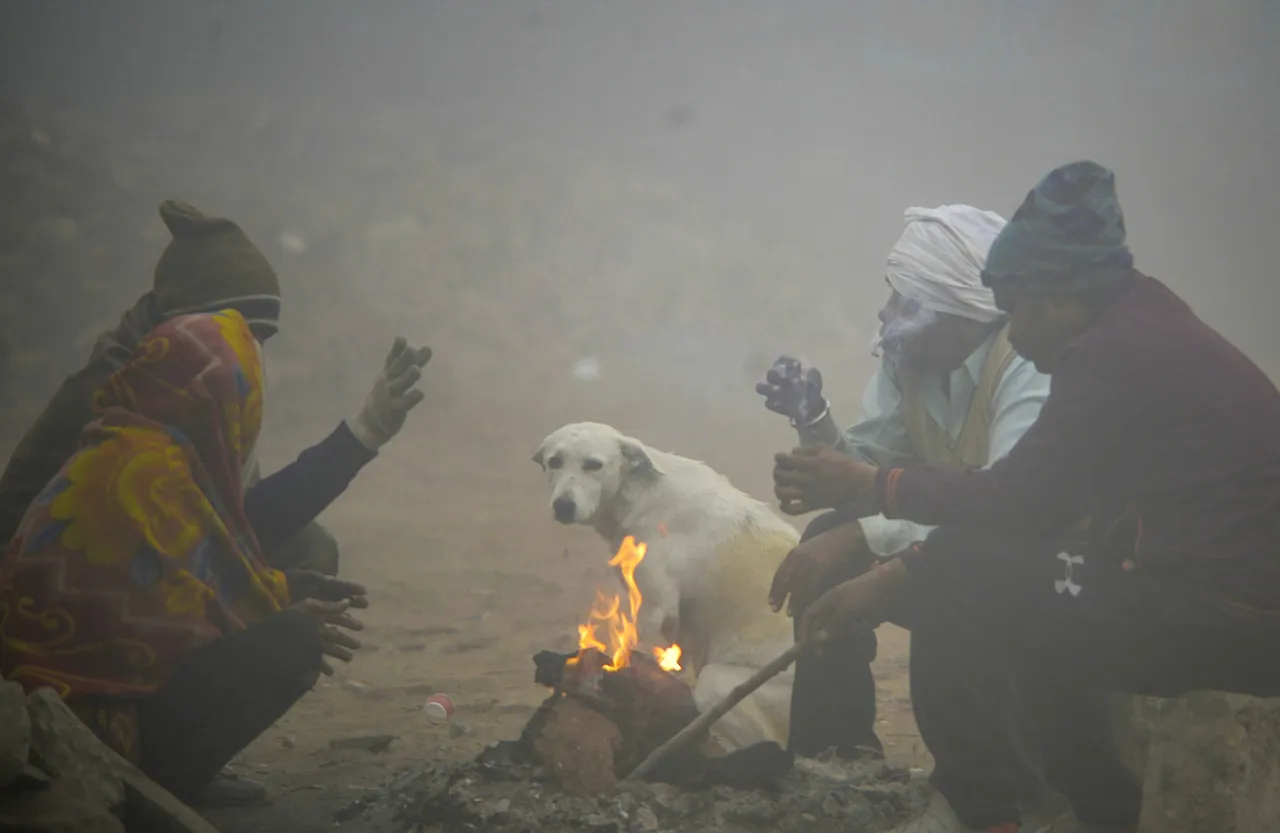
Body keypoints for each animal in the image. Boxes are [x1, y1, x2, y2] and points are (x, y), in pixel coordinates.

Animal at [532, 419, 798, 752]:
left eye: (593, 465)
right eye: (554, 461)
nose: (563, 506)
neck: (641, 493)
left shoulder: (656, 607)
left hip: (719, 684)